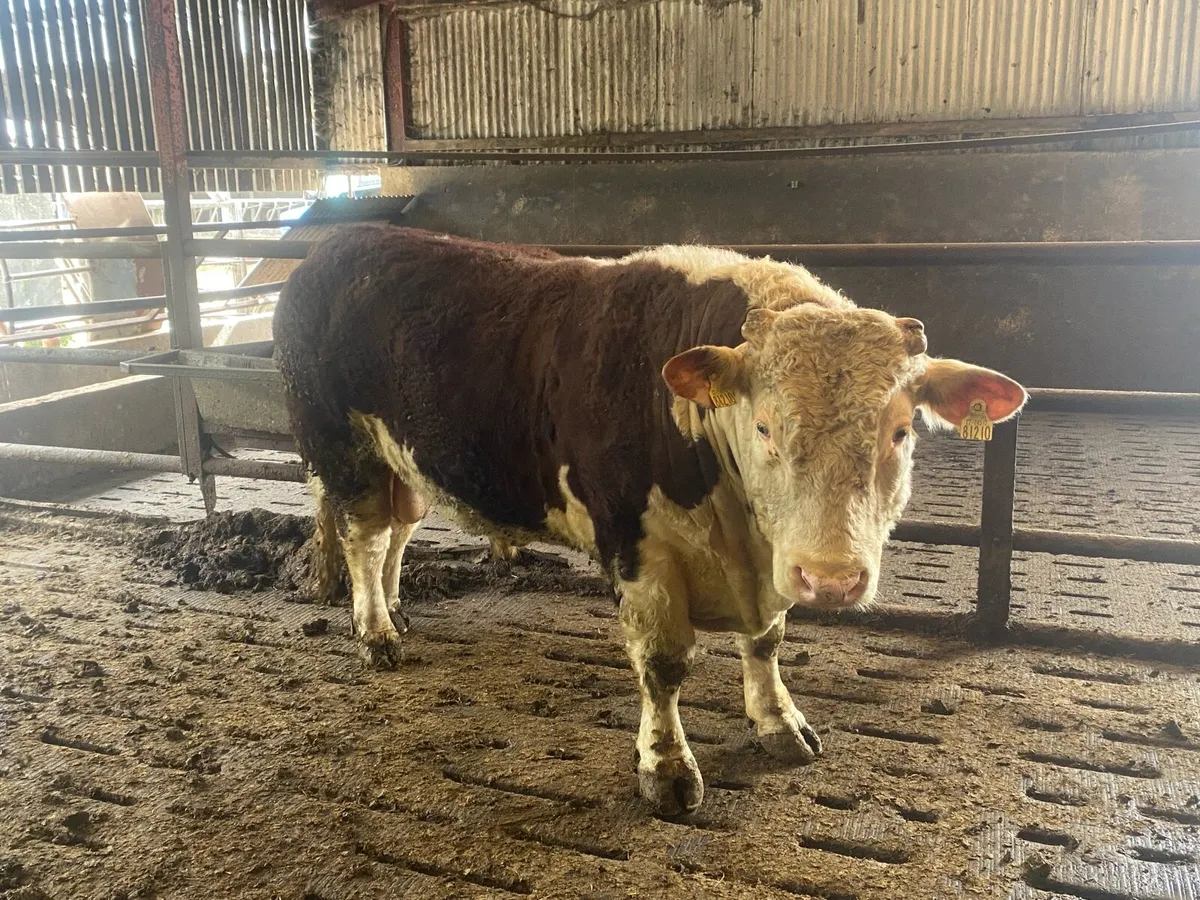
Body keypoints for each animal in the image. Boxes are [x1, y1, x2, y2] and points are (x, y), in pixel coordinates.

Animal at [273, 224, 1027, 816]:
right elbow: (664, 664)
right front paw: (666, 768)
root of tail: (336, 243)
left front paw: (779, 722)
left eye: (900, 432)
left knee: (397, 534)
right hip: (343, 447)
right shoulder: (639, 549)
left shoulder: (768, 563)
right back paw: (375, 634)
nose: (833, 578)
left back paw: (396, 613)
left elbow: (767, 643)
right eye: (764, 426)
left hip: (404, 460)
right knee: (366, 538)